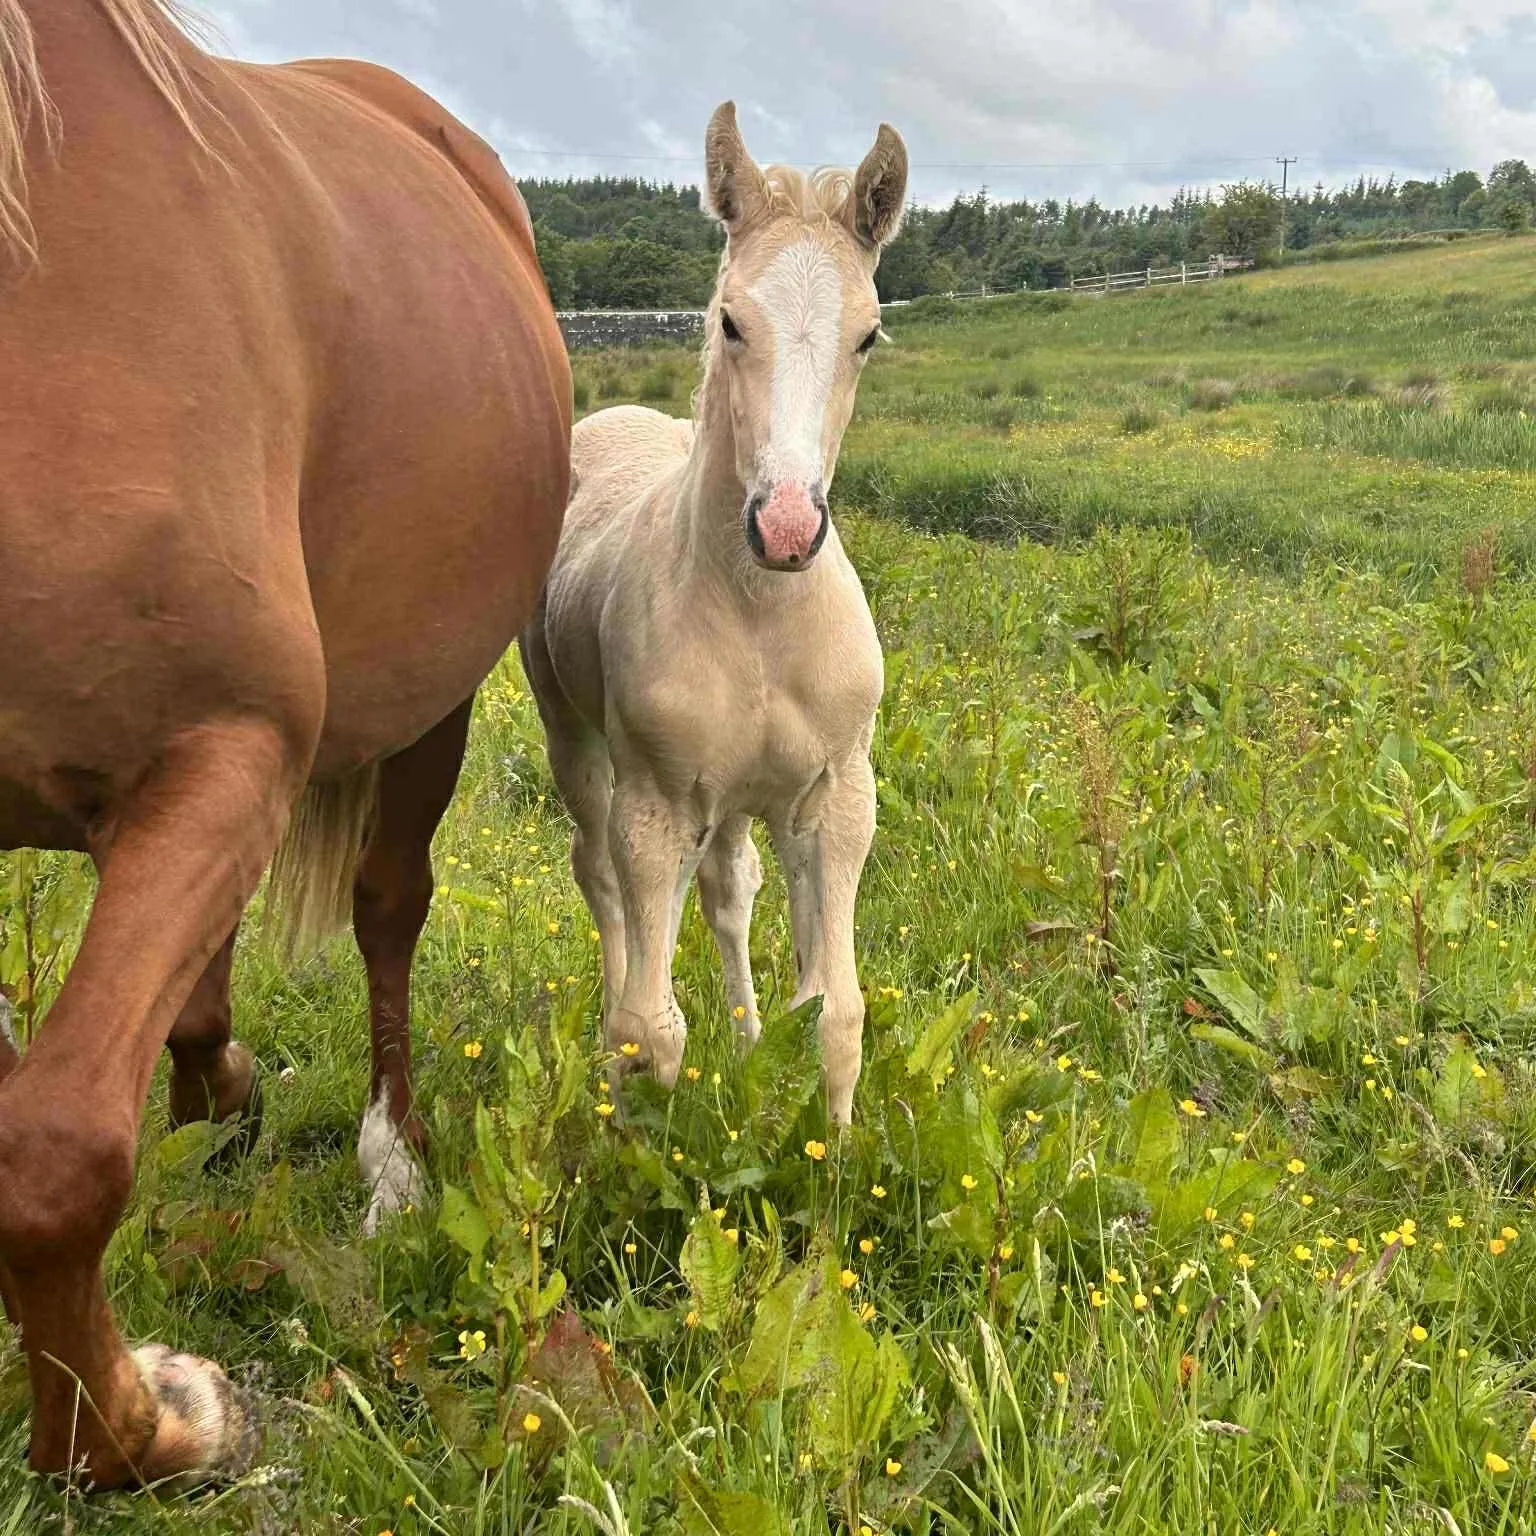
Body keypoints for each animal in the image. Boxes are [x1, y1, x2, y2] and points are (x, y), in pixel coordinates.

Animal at [0, 0, 570, 1488]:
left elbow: (53, 1153)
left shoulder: (227, 745)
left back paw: (392, 1164)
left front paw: (149, 1423)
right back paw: (221, 1090)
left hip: (425, 710)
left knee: (386, 909)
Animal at [521, 103, 906, 1127]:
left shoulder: (837, 798)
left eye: (868, 336)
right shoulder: (655, 806)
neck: (761, 612)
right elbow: (650, 1031)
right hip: (576, 741)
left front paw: (834, 1152)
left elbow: (837, 1011)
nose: (786, 526)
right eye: (730, 320)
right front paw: (628, 1139)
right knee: (598, 875)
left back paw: (745, 1035)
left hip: (735, 798)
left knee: (732, 889)